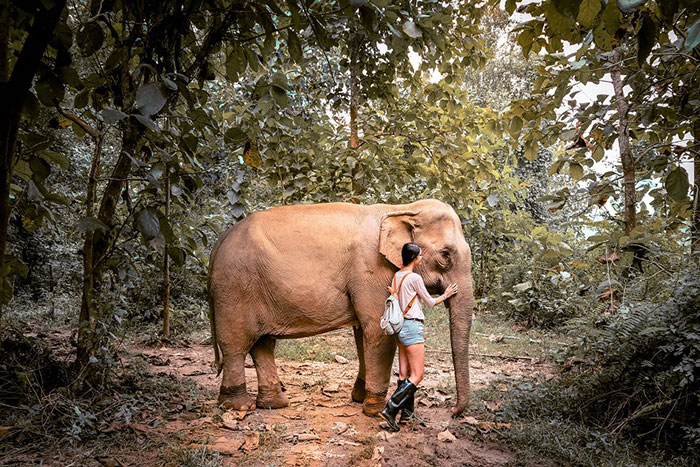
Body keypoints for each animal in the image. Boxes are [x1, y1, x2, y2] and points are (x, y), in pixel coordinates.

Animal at [205, 199, 474, 418]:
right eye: (445, 255)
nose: (452, 411)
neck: (400, 209)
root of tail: (219, 241)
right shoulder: (372, 269)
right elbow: (377, 331)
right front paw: (374, 409)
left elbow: (362, 333)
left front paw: (359, 397)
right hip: (235, 287)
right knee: (237, 344)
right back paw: (239, 405)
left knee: (262, 344)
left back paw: (274, 404)